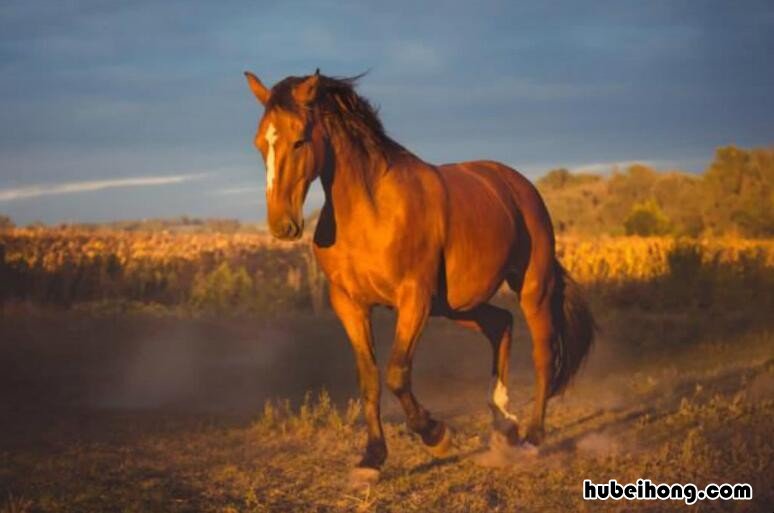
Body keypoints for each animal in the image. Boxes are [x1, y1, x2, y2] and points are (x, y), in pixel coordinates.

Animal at [246, 70, 596, 486]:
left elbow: (397, 373)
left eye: (299, 139)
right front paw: (371, 459)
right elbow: (369, 378)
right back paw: (504, 423)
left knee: (543, 354)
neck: (371, 210)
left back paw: (531, 438)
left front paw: (437, 436)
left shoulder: (413, 299)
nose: (282, 225)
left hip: (531, 288)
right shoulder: (349, 304)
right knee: (501, 325)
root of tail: (518, 186)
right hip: (456, 306)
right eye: (259, 142)